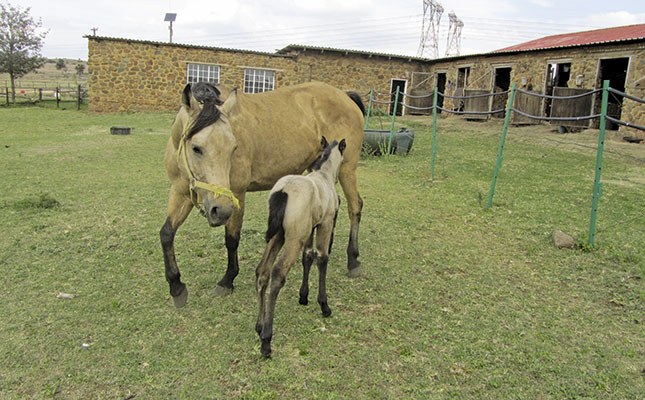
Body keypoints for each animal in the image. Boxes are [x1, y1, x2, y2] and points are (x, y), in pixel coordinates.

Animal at [256, 138, 348, 360]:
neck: (323, 176)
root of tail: (283, 191)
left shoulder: (311, 229)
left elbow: (308, 257)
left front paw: (303, 296)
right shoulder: (325, 224)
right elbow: (322, 258)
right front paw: (324, 305)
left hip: (277, 236)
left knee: (263, 271)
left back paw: (259, 326)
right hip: (292, 239)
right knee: (277, 275)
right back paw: (266, 341)